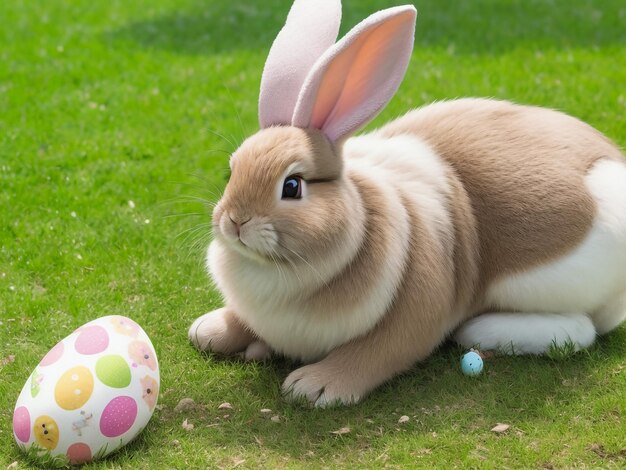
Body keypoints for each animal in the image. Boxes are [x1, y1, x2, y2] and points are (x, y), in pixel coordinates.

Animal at [188, 0, 624, 408]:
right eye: (232, 171)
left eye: (292, 186)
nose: (235, 222)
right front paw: (210, 329)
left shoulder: (415, 307)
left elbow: (378, 351)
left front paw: (315, 386)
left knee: (583, 329)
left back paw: (483, 329)